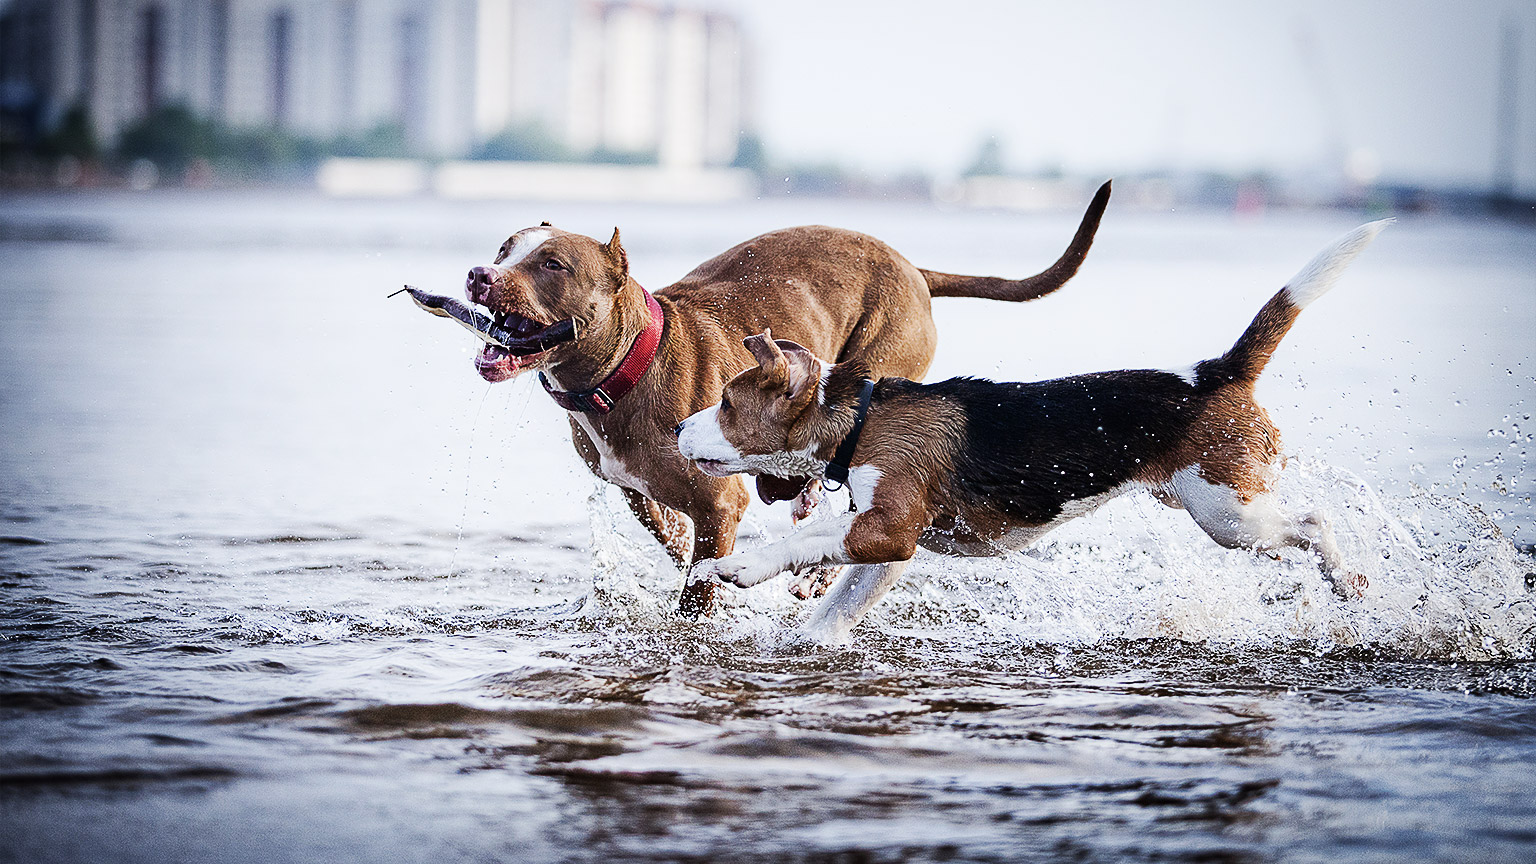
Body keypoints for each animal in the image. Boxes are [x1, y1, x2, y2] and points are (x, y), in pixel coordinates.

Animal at [460, 181, 1112, 614]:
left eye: (552, 264)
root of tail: (915, 269)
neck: (626, 369)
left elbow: (699, 584)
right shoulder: (632, 488)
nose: (477, 275)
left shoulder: (720, 504)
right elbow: (671, 535)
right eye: (502, 250)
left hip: (875, 369)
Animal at [678, 221, 1388, 639]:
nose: (682, 425)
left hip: (1228, 514)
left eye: (729, 402)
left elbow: (811, 536)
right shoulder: (890, 548)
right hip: (1210, 506)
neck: (862, 417)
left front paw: (744, 565)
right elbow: (832, 605)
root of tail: (1215, 372)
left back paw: (1347, 582)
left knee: (1315, 521)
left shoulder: (888, 527)